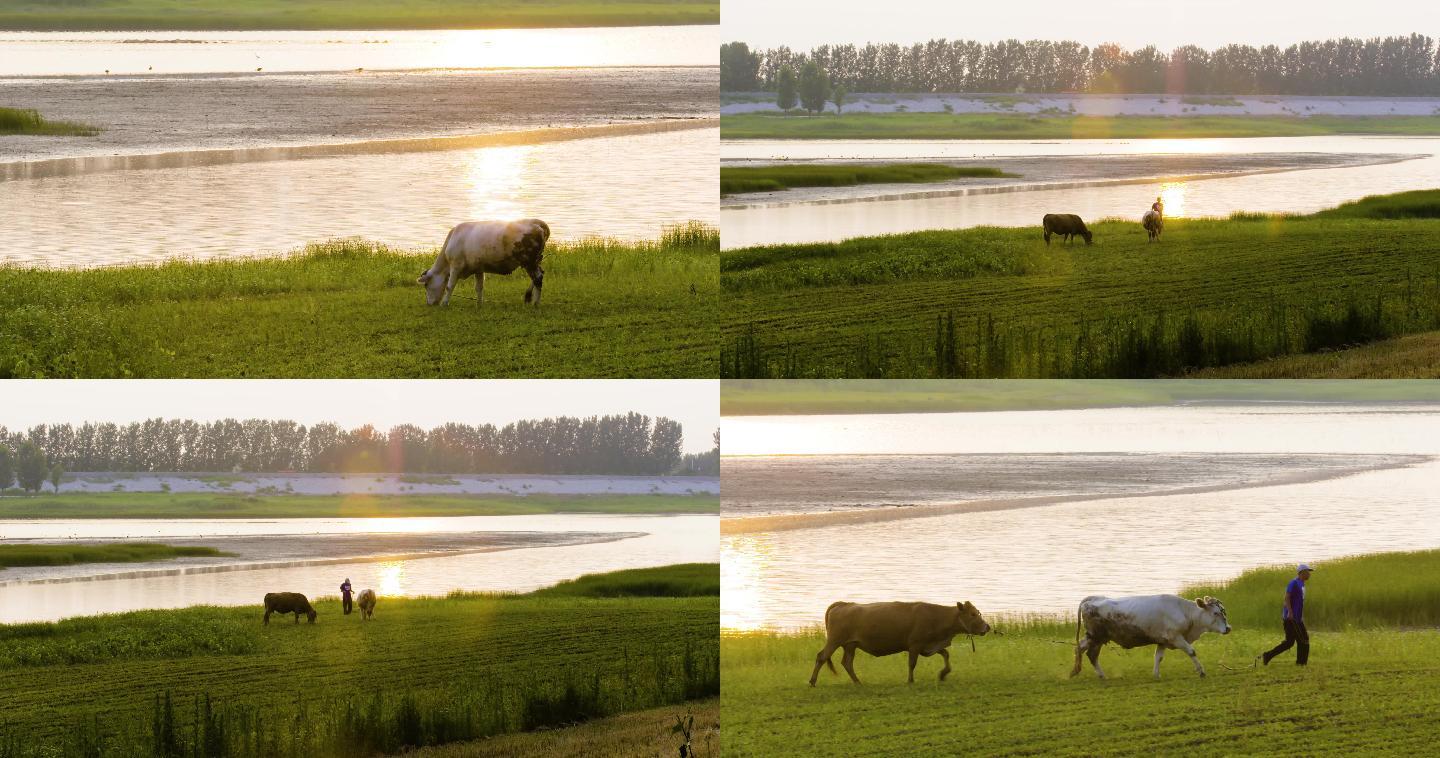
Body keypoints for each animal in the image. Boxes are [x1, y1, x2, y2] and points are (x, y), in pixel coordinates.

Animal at [420, 219, 552, 306]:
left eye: (426, 285)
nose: (429, 303)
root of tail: (535, 222)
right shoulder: (478, 268)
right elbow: (479, 287)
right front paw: (479, 304)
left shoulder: (455, 266)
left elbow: (449, 286)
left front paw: (444, 303)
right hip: (535, 261)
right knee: (540, 274)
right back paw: (529, 297)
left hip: (529, 261)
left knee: (538, 278)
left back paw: (535, 303)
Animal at [806, 599, 996, 688]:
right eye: (972, 614)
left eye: (977, 612)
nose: (987, 627)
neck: (937, 616)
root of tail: (843, 604)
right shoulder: (915, 645)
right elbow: (912, 664)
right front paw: (910, 680)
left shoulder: (929, 645)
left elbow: (945, 654)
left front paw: (943, 674)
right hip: (834, 640)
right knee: (821, 657)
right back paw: (813, 681)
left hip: (850, 645)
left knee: (847, 663)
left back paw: (858, 682)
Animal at [1071, 593, 1226, 683]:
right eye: (1216, 613)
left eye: (1223, 611)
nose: (1228, 628)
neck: (1183, 611)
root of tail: (1093, 599)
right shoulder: (1176, 637)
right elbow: (1191, 652)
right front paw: (1201, 672)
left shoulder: (1163, 640)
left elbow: (1158, 657)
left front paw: (1156, 675)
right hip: (1095, 637)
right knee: (1086, 652)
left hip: (1097, 638)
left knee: (1086, 652)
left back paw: (1089, 673)